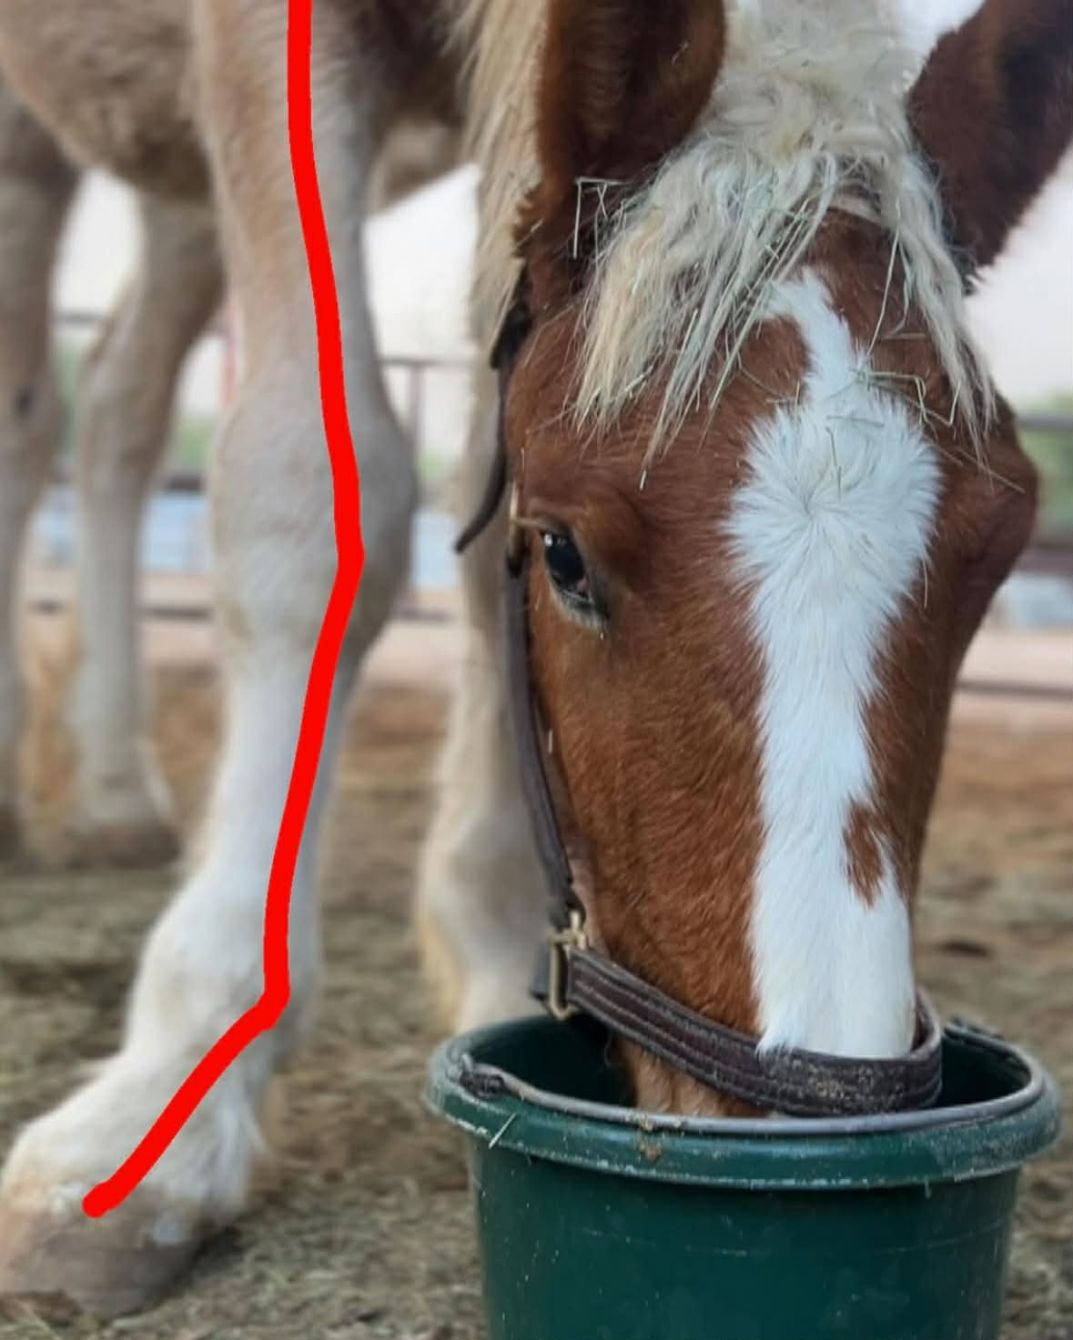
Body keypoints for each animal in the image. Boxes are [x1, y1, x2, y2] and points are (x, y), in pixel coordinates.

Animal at [0, 0, 1069, 1318]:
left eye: (998, 550)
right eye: (564, 553)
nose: (799, 1132)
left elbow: (474, 488)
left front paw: (488, 933)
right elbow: (309, 494)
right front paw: (165, 1102)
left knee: (118, 410)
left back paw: (110, 792)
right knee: (34, 417)